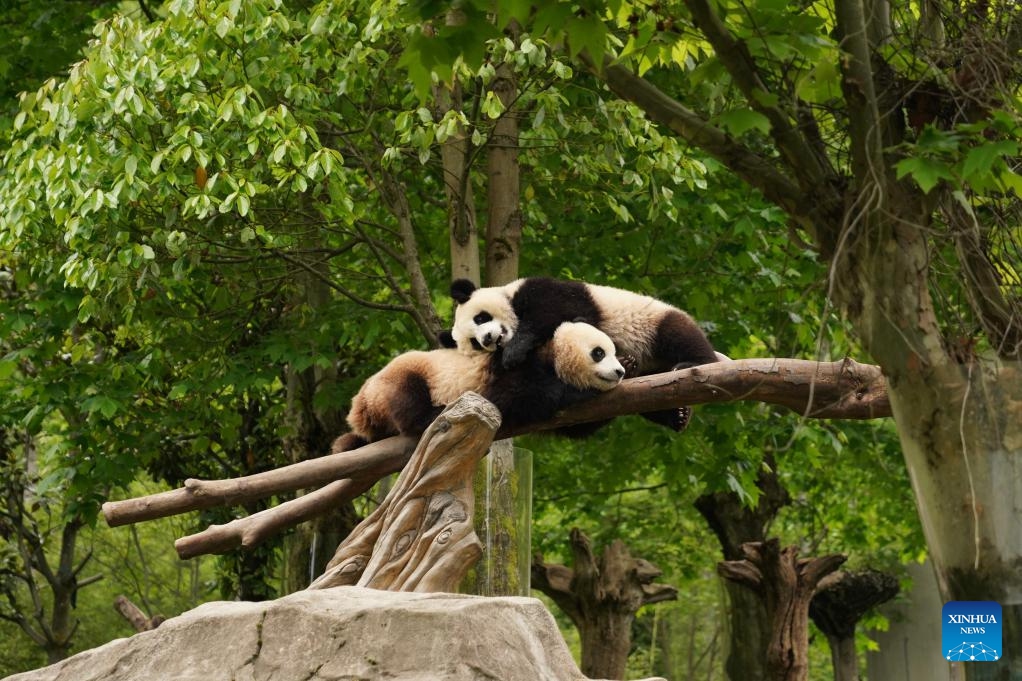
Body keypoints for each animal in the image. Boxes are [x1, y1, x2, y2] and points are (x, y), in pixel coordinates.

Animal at [331, 321, 626, 452]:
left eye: (613, 352)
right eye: (598, 353)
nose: (619, 372)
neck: (551, 349)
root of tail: (359, 408)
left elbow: (576, 427)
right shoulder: (512, 363)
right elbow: (514, 397)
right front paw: (576, 390)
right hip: (399, 378)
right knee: (409, 401)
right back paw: (435, 412)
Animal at [438, 276, 721, 431]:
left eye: (481, 317)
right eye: (474, 343)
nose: (488, 339)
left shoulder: (546, 291)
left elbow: (550, 312)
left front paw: (513, 352)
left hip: (652, 322)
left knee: (678, 334)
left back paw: (694, 363)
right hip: (652, 377)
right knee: (652, 396)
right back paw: (677, 415)